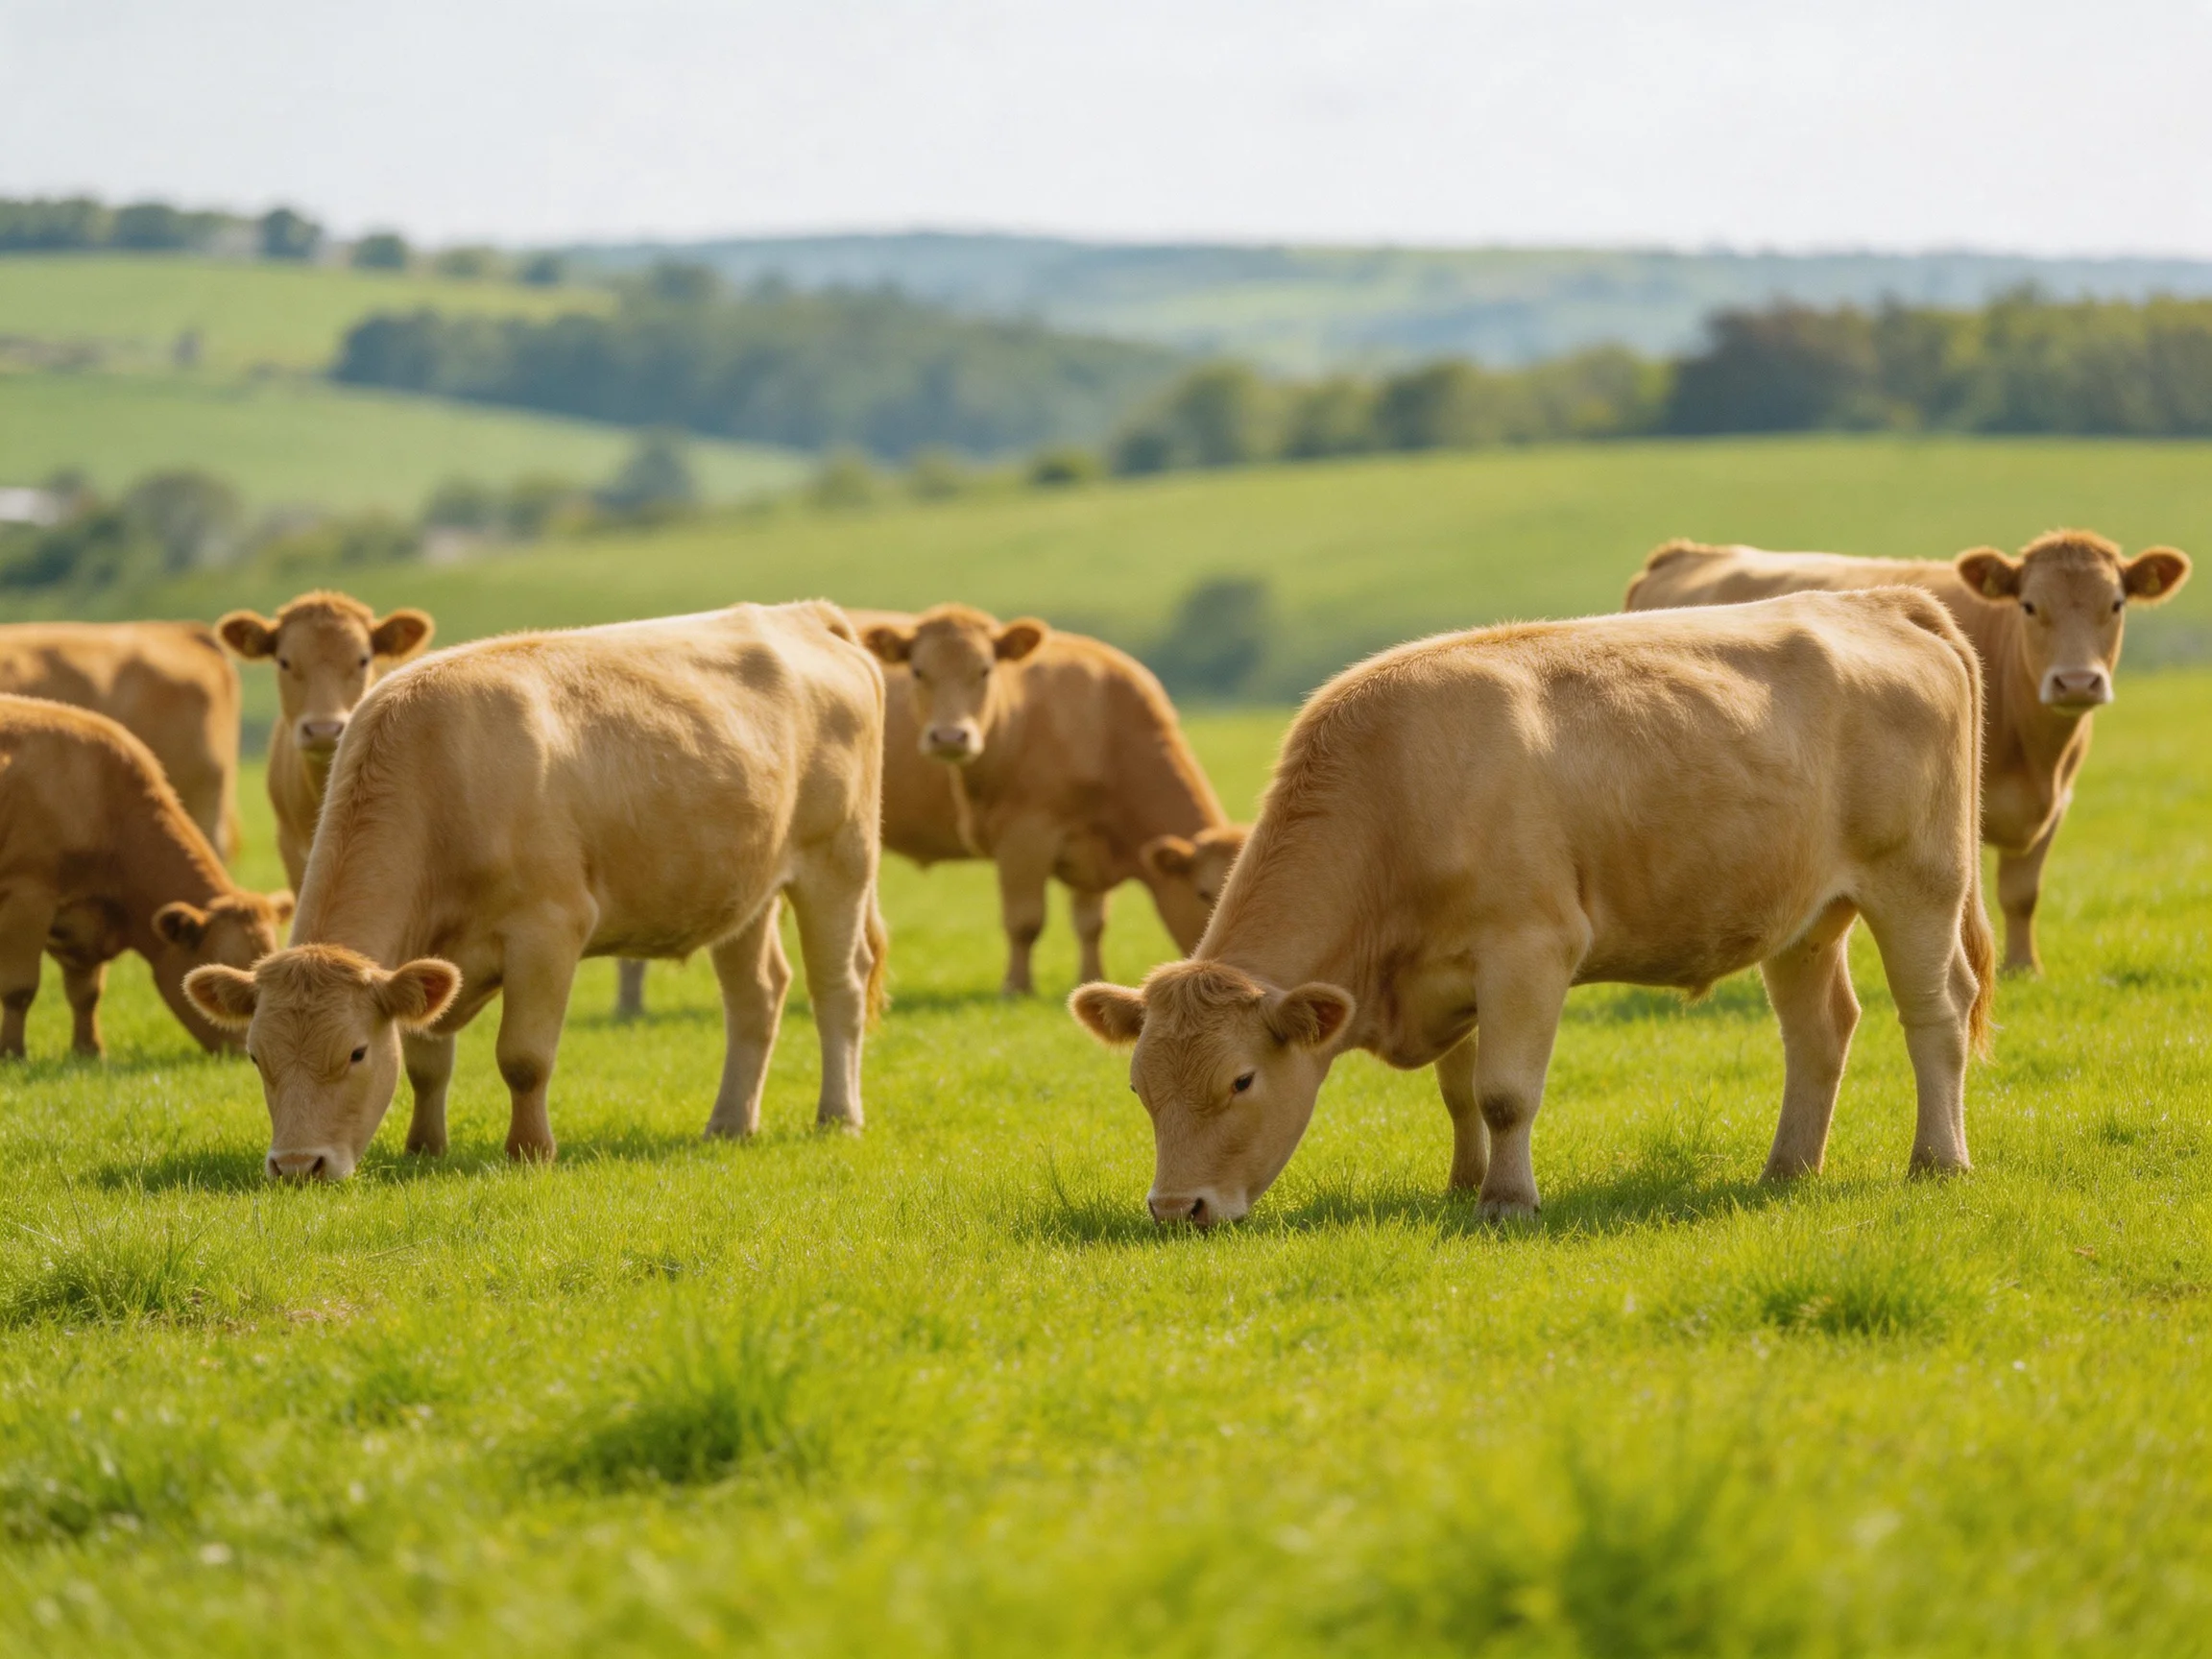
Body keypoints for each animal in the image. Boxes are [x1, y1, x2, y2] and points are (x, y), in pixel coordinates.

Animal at [0, 695, 290, 1058]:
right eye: (220, 966)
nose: (248, 1050)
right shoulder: (27, 898)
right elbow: (19, 989)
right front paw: (12, 1053)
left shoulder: (80, 923)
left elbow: (86, 992)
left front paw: (89, 1051)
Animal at [612, 605, 1249, 1016]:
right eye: (1204, 894)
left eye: (986, 671)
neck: (1102, 725)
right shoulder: (1025, 836)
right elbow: (1025, 921)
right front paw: (1015, 989)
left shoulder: (1089, 851)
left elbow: (1089, 923)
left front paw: (1085, 978)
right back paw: (630, 1002)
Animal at [1070, 591, 1994, 1227]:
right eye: (1139, 1085)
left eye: (1242, 1079)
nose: (1176, 1208)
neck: (1396, 793)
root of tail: (1875, 598)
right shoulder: (1448, 972)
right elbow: (1458, 1091)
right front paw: (1461, 1184)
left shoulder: (1527, 950)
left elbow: (1504, 1091)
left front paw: (1505, 1203)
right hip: (1802, 917)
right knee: (1819, 1031)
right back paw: (1788, 1169)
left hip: (1919, 882)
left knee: (1937, 1011)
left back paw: (1938, 1162)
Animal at [1625, 530, 2191, 975]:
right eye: (2030, 606)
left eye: (2115, 605)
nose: (2075, 682)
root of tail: (1684, 554)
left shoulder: (2054, 806)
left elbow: (2022, 894)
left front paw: (2023, 969)